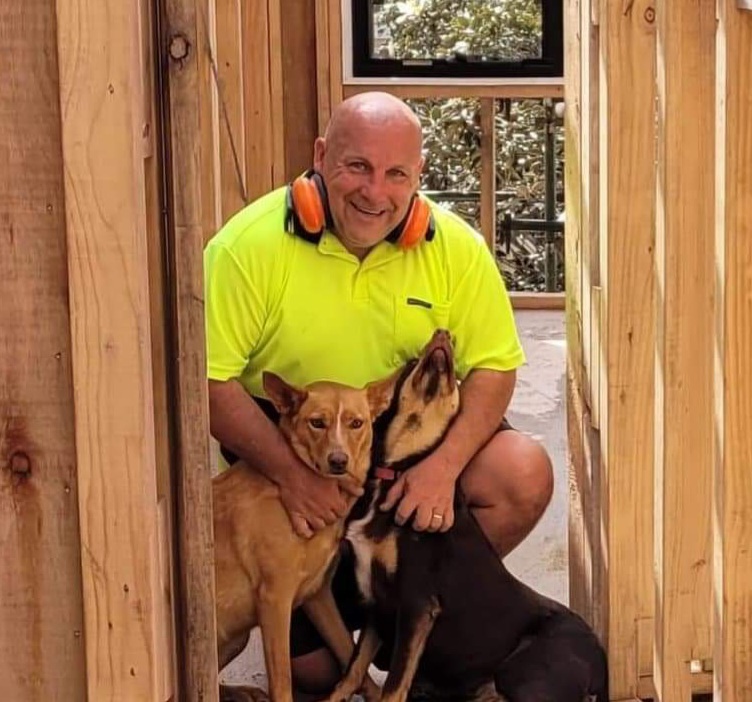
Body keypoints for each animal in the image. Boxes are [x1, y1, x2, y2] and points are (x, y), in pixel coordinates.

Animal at [209, 372, 390, 700]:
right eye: (317, 423)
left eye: (356, 423)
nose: (339, 461)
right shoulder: (275, 599)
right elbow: (282, 681)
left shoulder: (318, 595)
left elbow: (349, 653)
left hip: (237, 638)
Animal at [326, 332, 608, 702]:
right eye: (412, 362)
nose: (444, 333)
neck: (401, 464)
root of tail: (602, 664)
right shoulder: (375, 601)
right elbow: (352, 672)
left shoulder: (416, 604)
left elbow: (393, 686)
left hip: (521, 675)